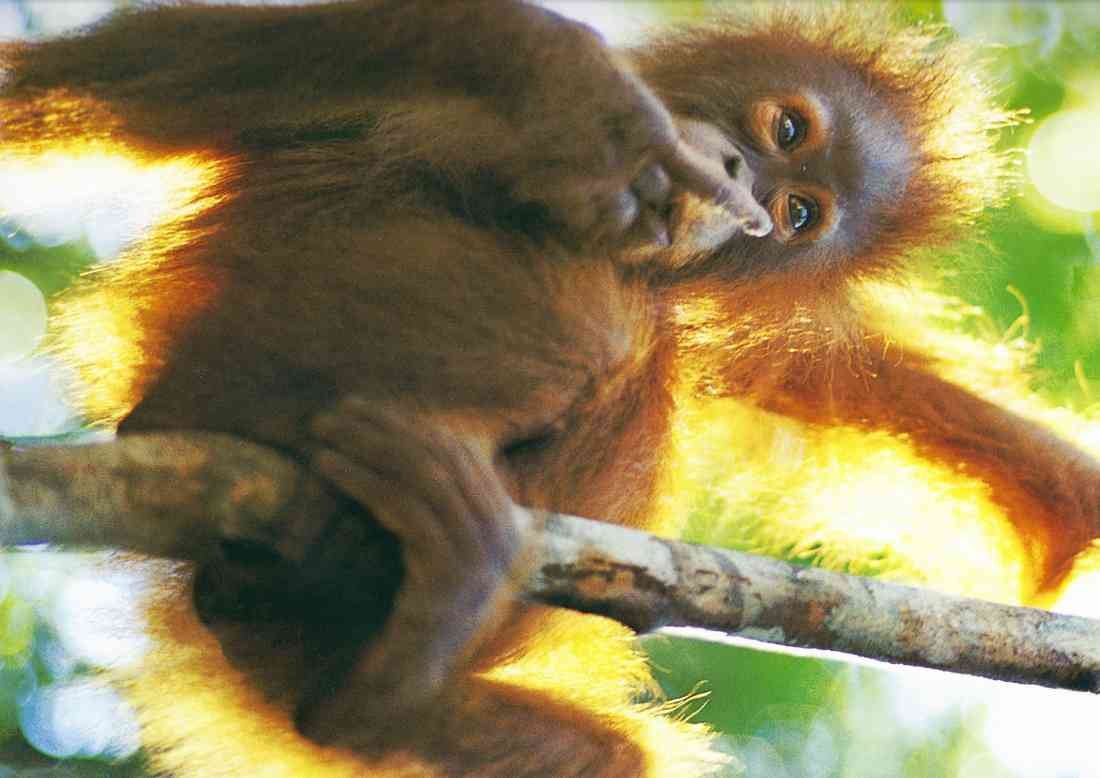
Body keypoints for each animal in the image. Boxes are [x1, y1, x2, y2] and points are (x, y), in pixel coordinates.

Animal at [2, 1, 1096, 776]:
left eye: (797, 214)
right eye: (788, 125)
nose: (739, 174)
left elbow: (872, 394)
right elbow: (165, 64)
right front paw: (573, 81)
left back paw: (391, 680)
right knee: (608, 327)